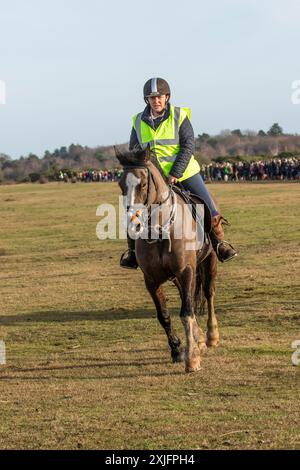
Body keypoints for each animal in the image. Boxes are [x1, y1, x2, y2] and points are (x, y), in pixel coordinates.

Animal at [116, 148, 219, 374]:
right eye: (120, 184)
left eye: (143, 184)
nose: (132, 223)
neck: (162, 230)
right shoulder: (151, 280)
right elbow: (164, 315)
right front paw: (178, 350)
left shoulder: (186, 270)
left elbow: (186, 312)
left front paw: (192, 359)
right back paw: (199, 339)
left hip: (209, 262)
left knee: (208, 294)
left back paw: (211, 336)